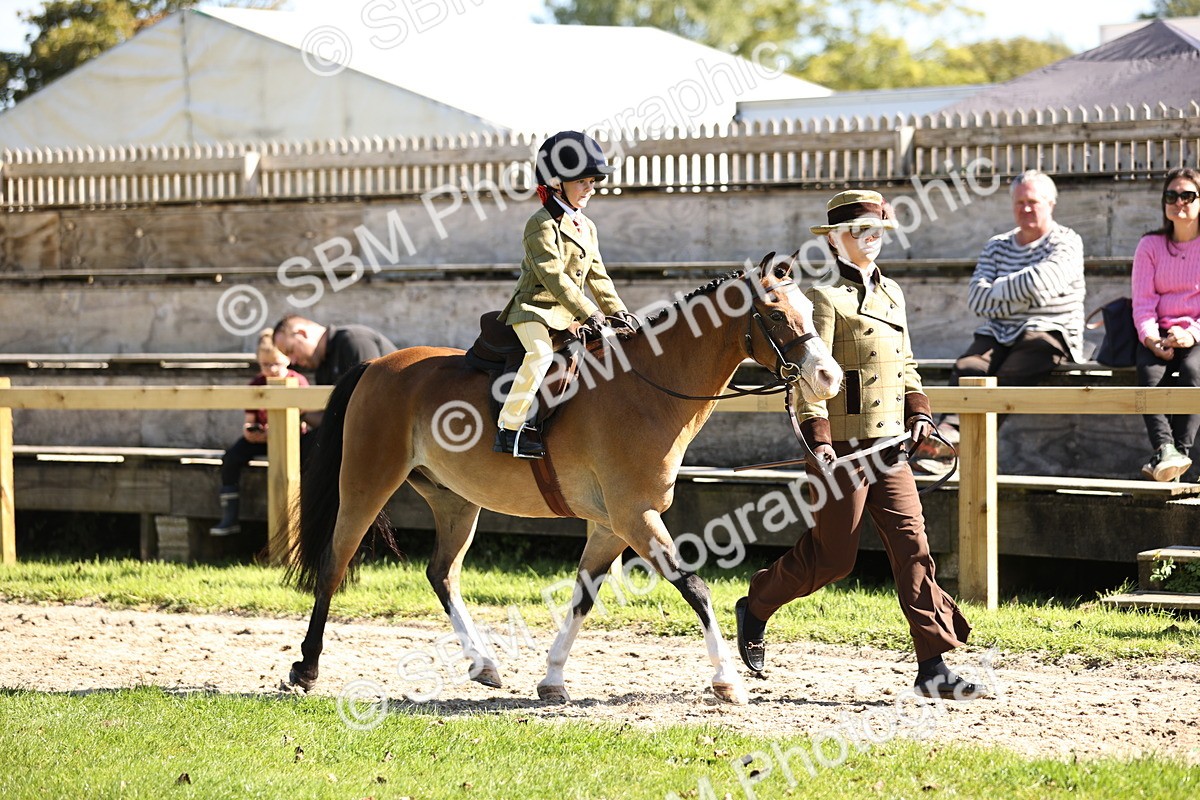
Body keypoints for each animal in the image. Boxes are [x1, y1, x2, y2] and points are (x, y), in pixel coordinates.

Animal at [285, 254, 843, 704]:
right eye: (776, 314)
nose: (830, 378)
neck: (647, 389)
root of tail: (378, 364)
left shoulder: (610, 526)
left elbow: (583, 598)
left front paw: (552, 679)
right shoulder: (635, 517)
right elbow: (695, 587)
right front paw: (727, 679)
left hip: (455, 502)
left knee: (442, 574)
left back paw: (483, 664)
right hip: (365, 487)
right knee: (334, 565)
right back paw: (307, 668)